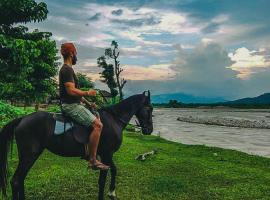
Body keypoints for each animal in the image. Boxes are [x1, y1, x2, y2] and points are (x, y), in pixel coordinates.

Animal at [0, 91, 152, 199]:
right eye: (149, 109)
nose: (149, 130)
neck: (114, 120)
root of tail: (22, 119)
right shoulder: (107, 154)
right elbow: (103, 179)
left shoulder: (105, 155)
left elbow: (113, 170)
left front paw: (112, 192)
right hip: (29, 155)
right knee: (16, 181)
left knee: (20, 180)